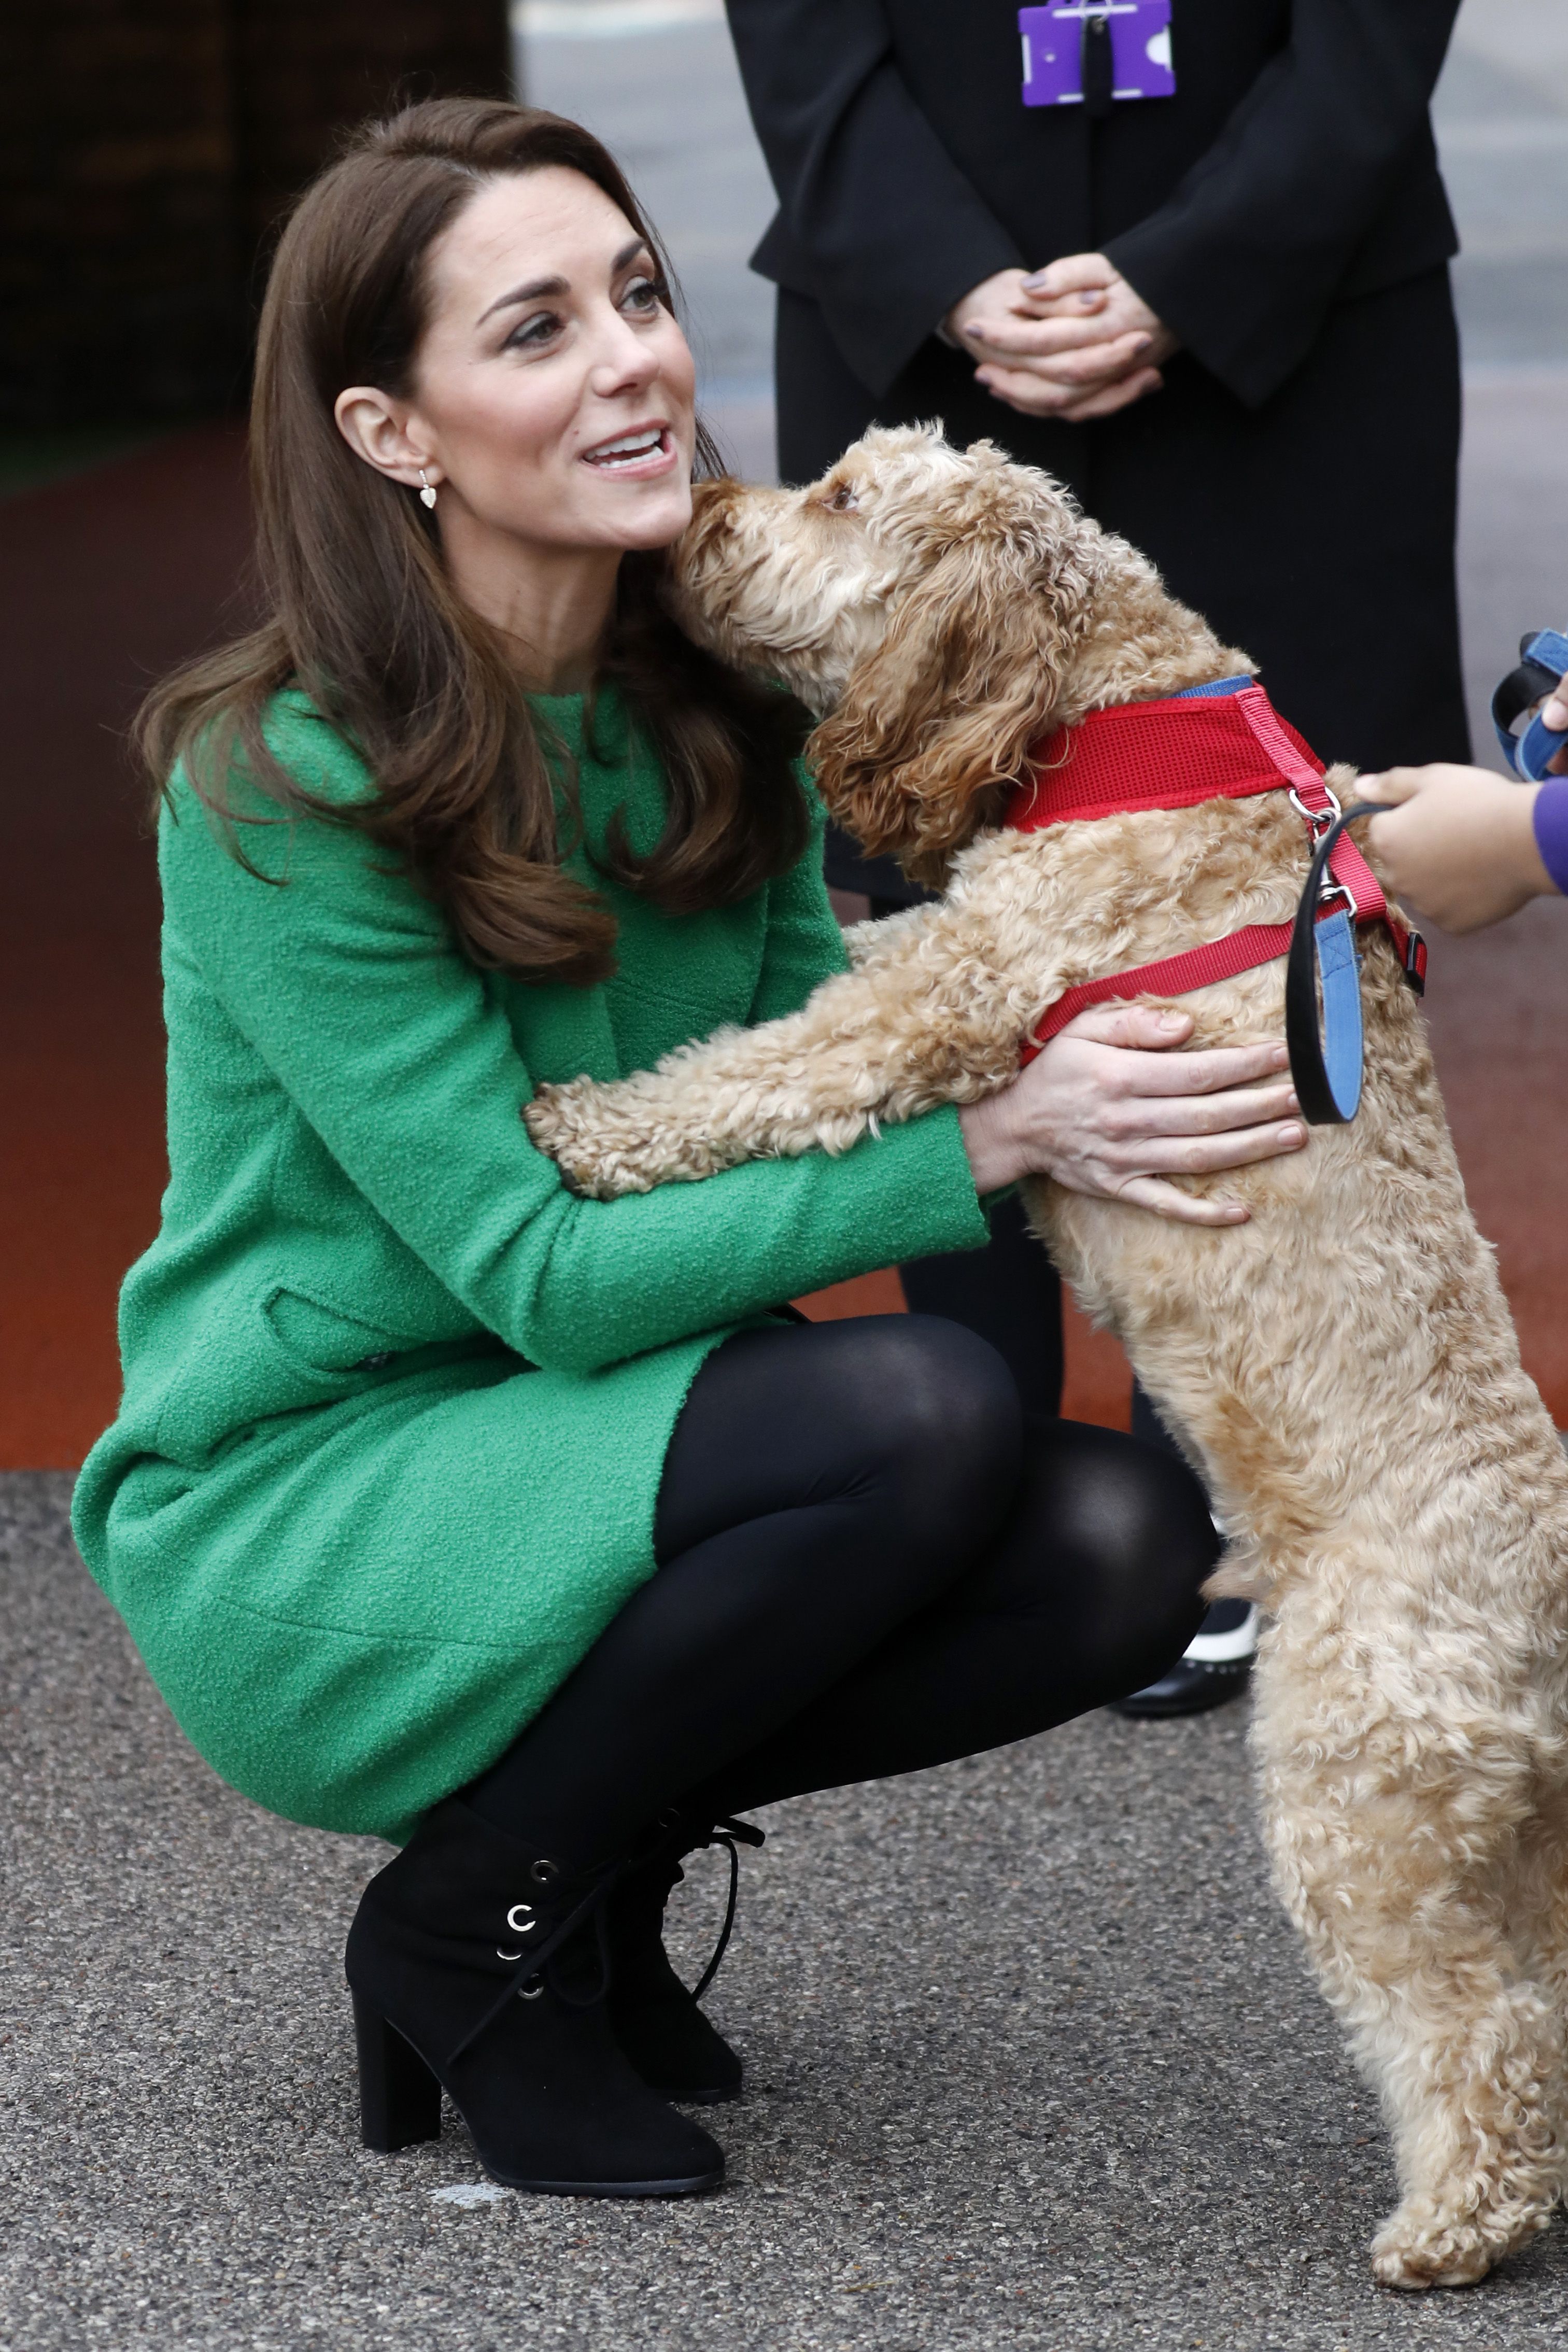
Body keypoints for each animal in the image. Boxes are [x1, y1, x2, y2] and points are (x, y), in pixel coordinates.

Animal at [526, 432, 1568, 2286]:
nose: (698, 511)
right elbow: (832, 965)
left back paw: (1452, 2224)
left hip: (1365, 1804)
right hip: (1521, 1836)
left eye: (843, 498)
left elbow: (757, 1067)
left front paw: (590, 1124)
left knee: (1476, 2028)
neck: (1118, 717)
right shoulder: (938, 946)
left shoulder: (948, 992)